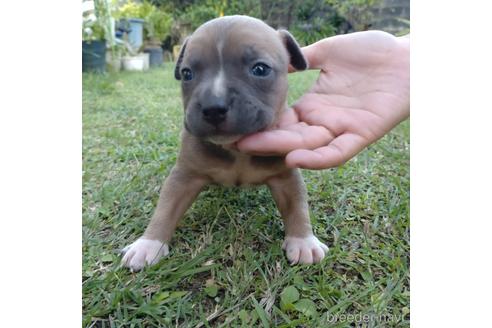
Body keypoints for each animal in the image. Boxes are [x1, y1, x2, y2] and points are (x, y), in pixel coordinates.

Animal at [122, 15, 328, 270]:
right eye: (187, 74)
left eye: (260, 69)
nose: (213, 107)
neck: (235, 148)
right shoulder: (183, 176)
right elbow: (166, 208)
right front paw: (148, 243)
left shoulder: (286, 176)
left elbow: (297, 206)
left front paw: (303, 241)